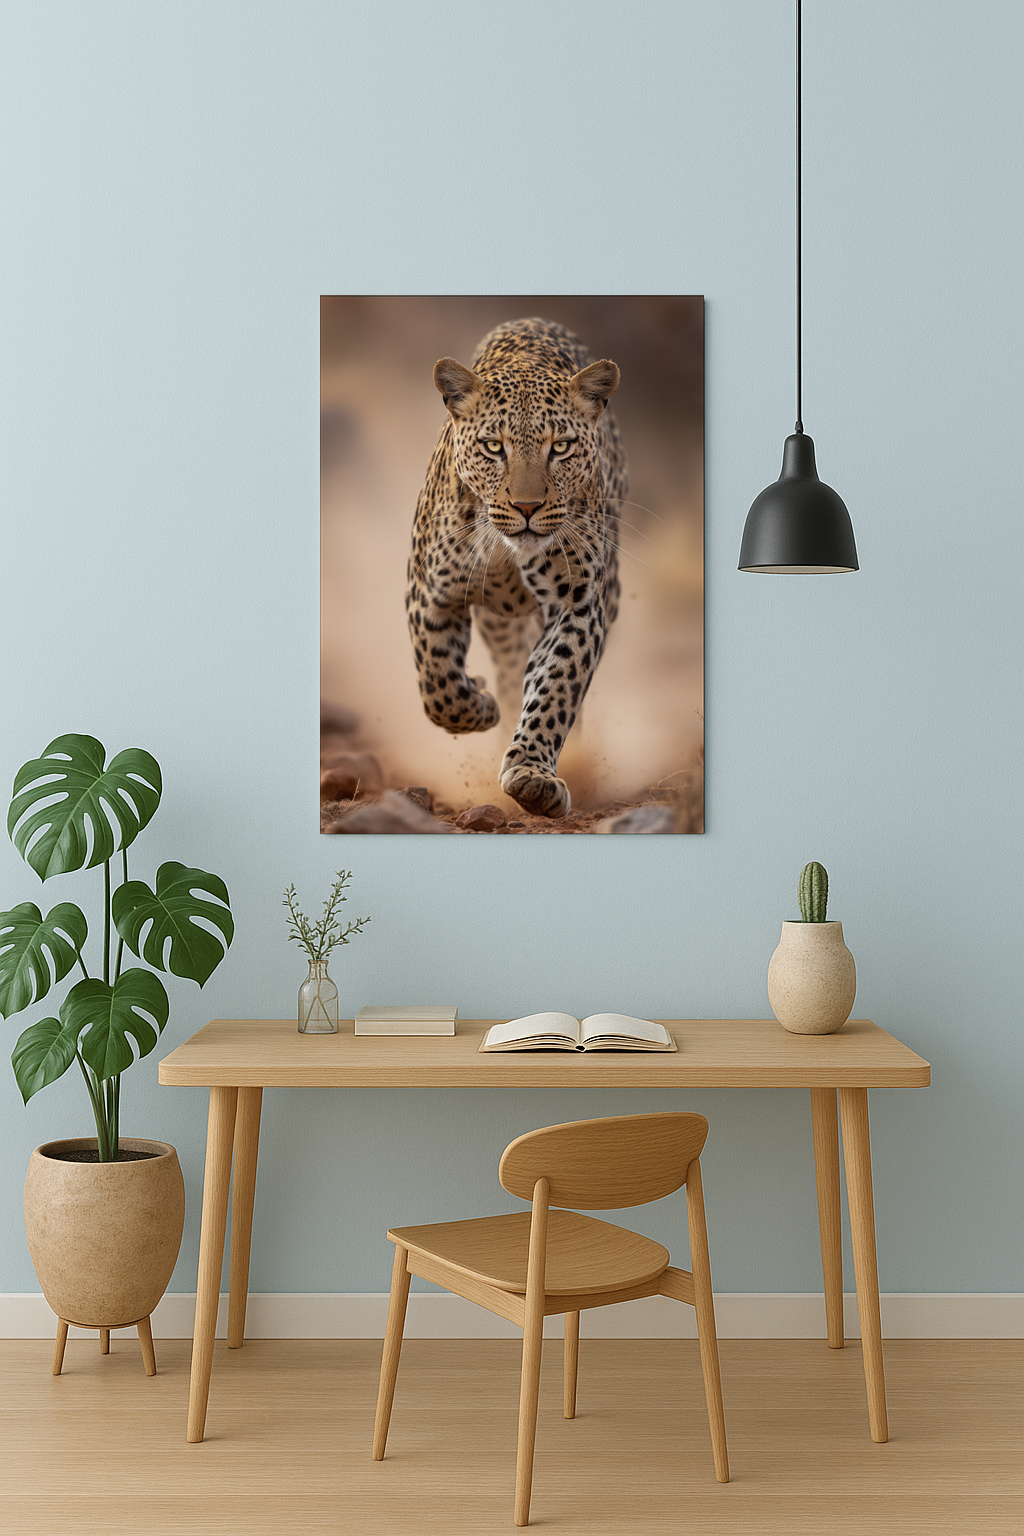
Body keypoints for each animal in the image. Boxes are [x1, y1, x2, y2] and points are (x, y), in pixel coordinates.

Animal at [405, 317, 626, 819]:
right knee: (507, 670)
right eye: (493, 447)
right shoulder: (429, 593)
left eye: (561, 447)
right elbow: (437, 683)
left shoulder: (580, 603)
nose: (527, 507)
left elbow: (556, 685)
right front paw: (480, 704)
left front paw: (532, 774)